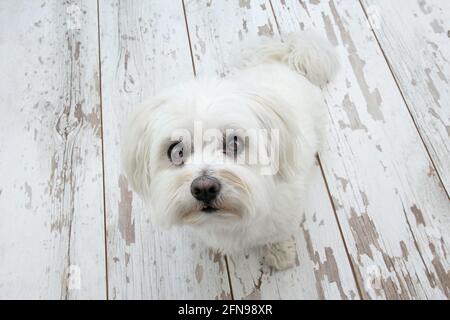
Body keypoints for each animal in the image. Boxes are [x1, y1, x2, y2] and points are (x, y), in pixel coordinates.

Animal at [121, 34, 336, 270]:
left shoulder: (284, 217)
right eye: (176, 151)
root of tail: (285, 60)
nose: (204, 188)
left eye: (234, 142)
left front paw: (279, 253)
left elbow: (276, 236)